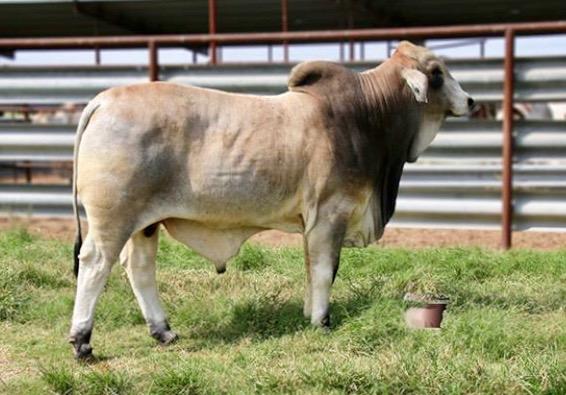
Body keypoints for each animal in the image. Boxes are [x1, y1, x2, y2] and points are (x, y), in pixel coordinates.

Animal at [67, 41, 474, 358]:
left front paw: (310, 315)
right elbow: (326, 270)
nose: (470, 101)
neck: (366, 116)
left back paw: (163, 331)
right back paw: (82, 341)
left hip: (145, 224)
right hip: (114, 218)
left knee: (138, 268)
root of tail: (103, 100)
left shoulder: (312, 223)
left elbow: (311, 269)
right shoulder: (330, 215)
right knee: (95, 263)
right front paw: (322, 321)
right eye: (437, 72)